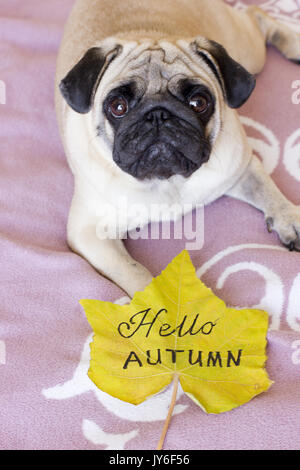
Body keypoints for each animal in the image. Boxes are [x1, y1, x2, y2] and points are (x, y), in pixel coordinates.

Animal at [55, 0, 300, 296]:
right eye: (118, 107)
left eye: (198, 102)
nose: (158, 115)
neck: (167, 181)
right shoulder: (91, 234)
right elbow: (137, 273)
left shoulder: (242, 168)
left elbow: (270, 192)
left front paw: (290, 218)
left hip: (247, 49)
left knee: (257, 16)